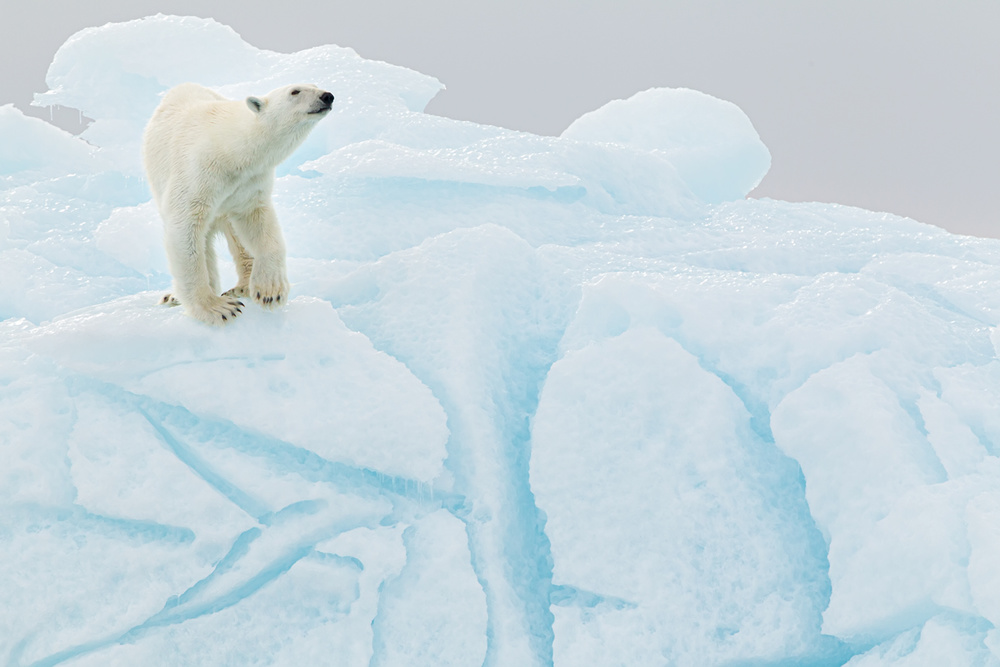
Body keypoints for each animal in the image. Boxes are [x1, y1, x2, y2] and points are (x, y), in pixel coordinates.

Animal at [142, 82, 334, 325]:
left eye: (316, 86)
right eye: (295, 91)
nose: (327, 96)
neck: (229, 150)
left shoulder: (249, 183)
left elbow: (258, 222)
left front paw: (270, 291)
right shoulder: (197, 172)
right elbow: (186, 228)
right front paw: (218, 308)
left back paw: (243, 287)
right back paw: (175, 296)